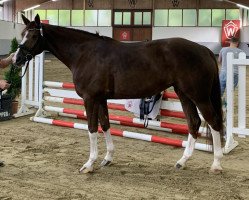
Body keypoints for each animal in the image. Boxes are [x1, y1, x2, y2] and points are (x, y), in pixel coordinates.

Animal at [13, 14, 224, 173]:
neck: (85, 53)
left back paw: (216, 164)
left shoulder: (90, 99)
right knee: (193, 122)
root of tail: (202, 49)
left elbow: (91, 128)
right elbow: (105, 124)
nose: (17, 59)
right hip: (184, 94)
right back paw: (182, 161)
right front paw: (107, 158)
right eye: (22, 34)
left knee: (212, 121)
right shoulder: (101, 99)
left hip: (199, 96)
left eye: (33, 36)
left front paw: (89, 164)